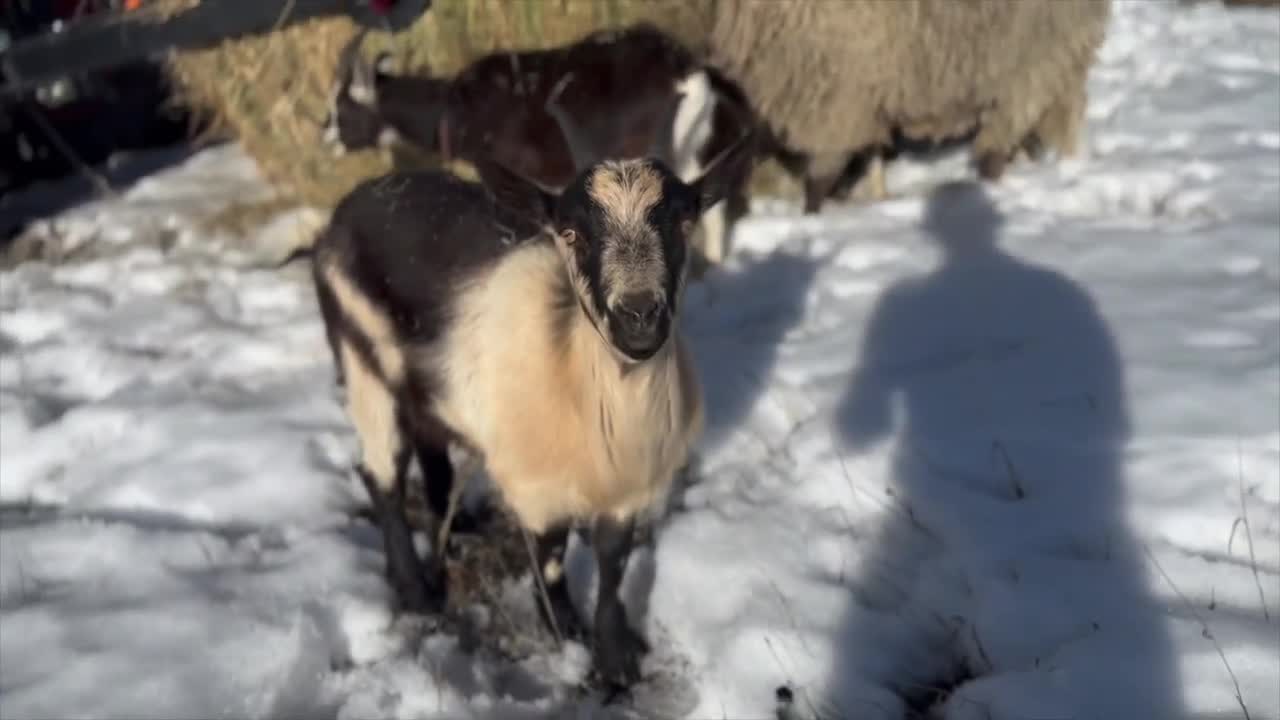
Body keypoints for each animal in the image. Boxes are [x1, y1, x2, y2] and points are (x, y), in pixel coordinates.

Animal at [312, 76, 756, 690]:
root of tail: (344, 211)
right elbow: (550, 559)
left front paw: (616, 655)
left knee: (429, 437)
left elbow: (613, 562)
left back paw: (460, 523)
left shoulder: (631, 485)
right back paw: (416, 591)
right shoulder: (535, 485)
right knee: (380, 473)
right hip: (362, 358)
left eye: (681, 222)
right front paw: (566, 637)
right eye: (571, 232)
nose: (639, 317)